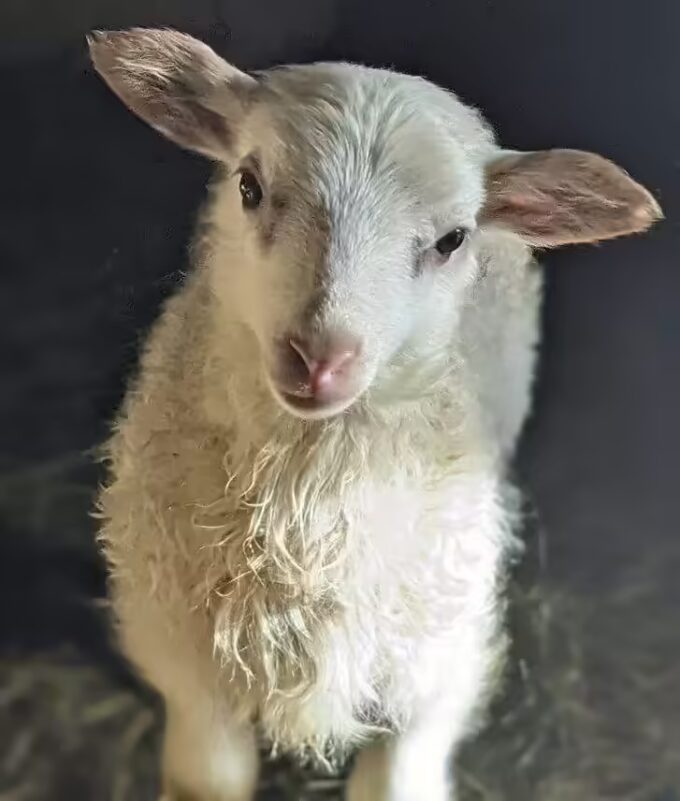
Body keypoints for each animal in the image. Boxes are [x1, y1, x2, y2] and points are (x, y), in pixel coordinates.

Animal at [88, 28, 661, 801]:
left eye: (453, 239)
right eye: (249, 185)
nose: (318, 357)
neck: (306, 526)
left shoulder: (430, 688)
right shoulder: (193, 679)